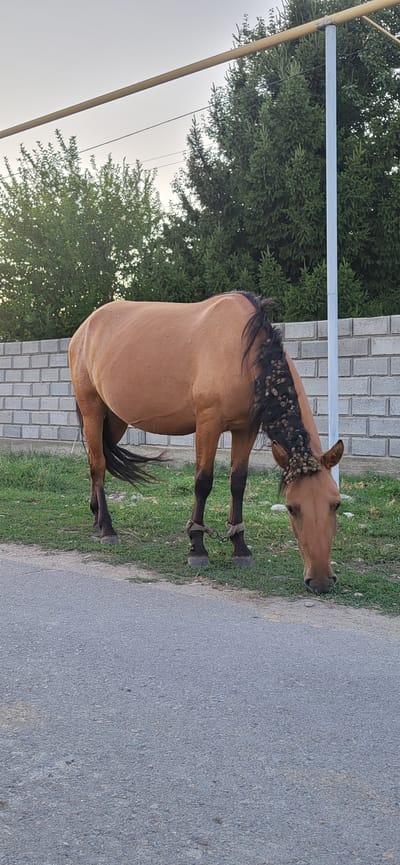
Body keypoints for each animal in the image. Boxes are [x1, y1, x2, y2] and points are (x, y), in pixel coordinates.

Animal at [68, 290, 343, 594]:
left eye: (335, 504)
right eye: (292, 508)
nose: (321, 580)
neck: (243, 352)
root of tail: (85, 328)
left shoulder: (246, 428)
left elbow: (238, 482)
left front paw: (240, 549)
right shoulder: (208, 424)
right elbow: (203, 482)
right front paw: (197, 549)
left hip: (114, 419)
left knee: (97, 461)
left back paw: (96, 518)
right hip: (92, 409)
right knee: (98, 465)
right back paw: (107, 529)